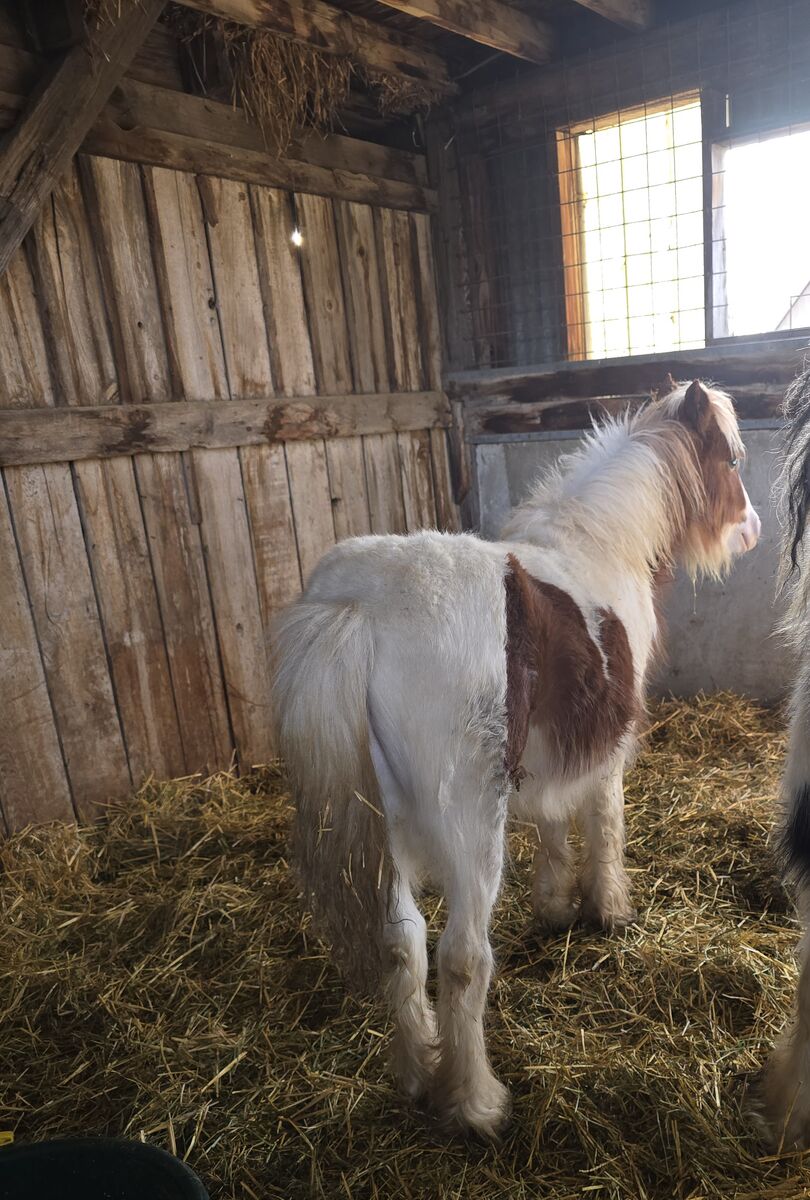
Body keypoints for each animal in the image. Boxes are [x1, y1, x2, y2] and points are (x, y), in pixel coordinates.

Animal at [272, 379, 760, 1138]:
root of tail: (361, 608)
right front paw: (609, 910)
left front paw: (555, 905)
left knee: (402, 942)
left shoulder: (552, 753)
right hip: (471, 828)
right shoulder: (607, 749)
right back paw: (475, 1102)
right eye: (732, 460)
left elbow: (554, 824)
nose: (752, 530)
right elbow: (604, 826)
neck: (598, 546)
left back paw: (418, 1073)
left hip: (386, 830)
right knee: (462, 957)